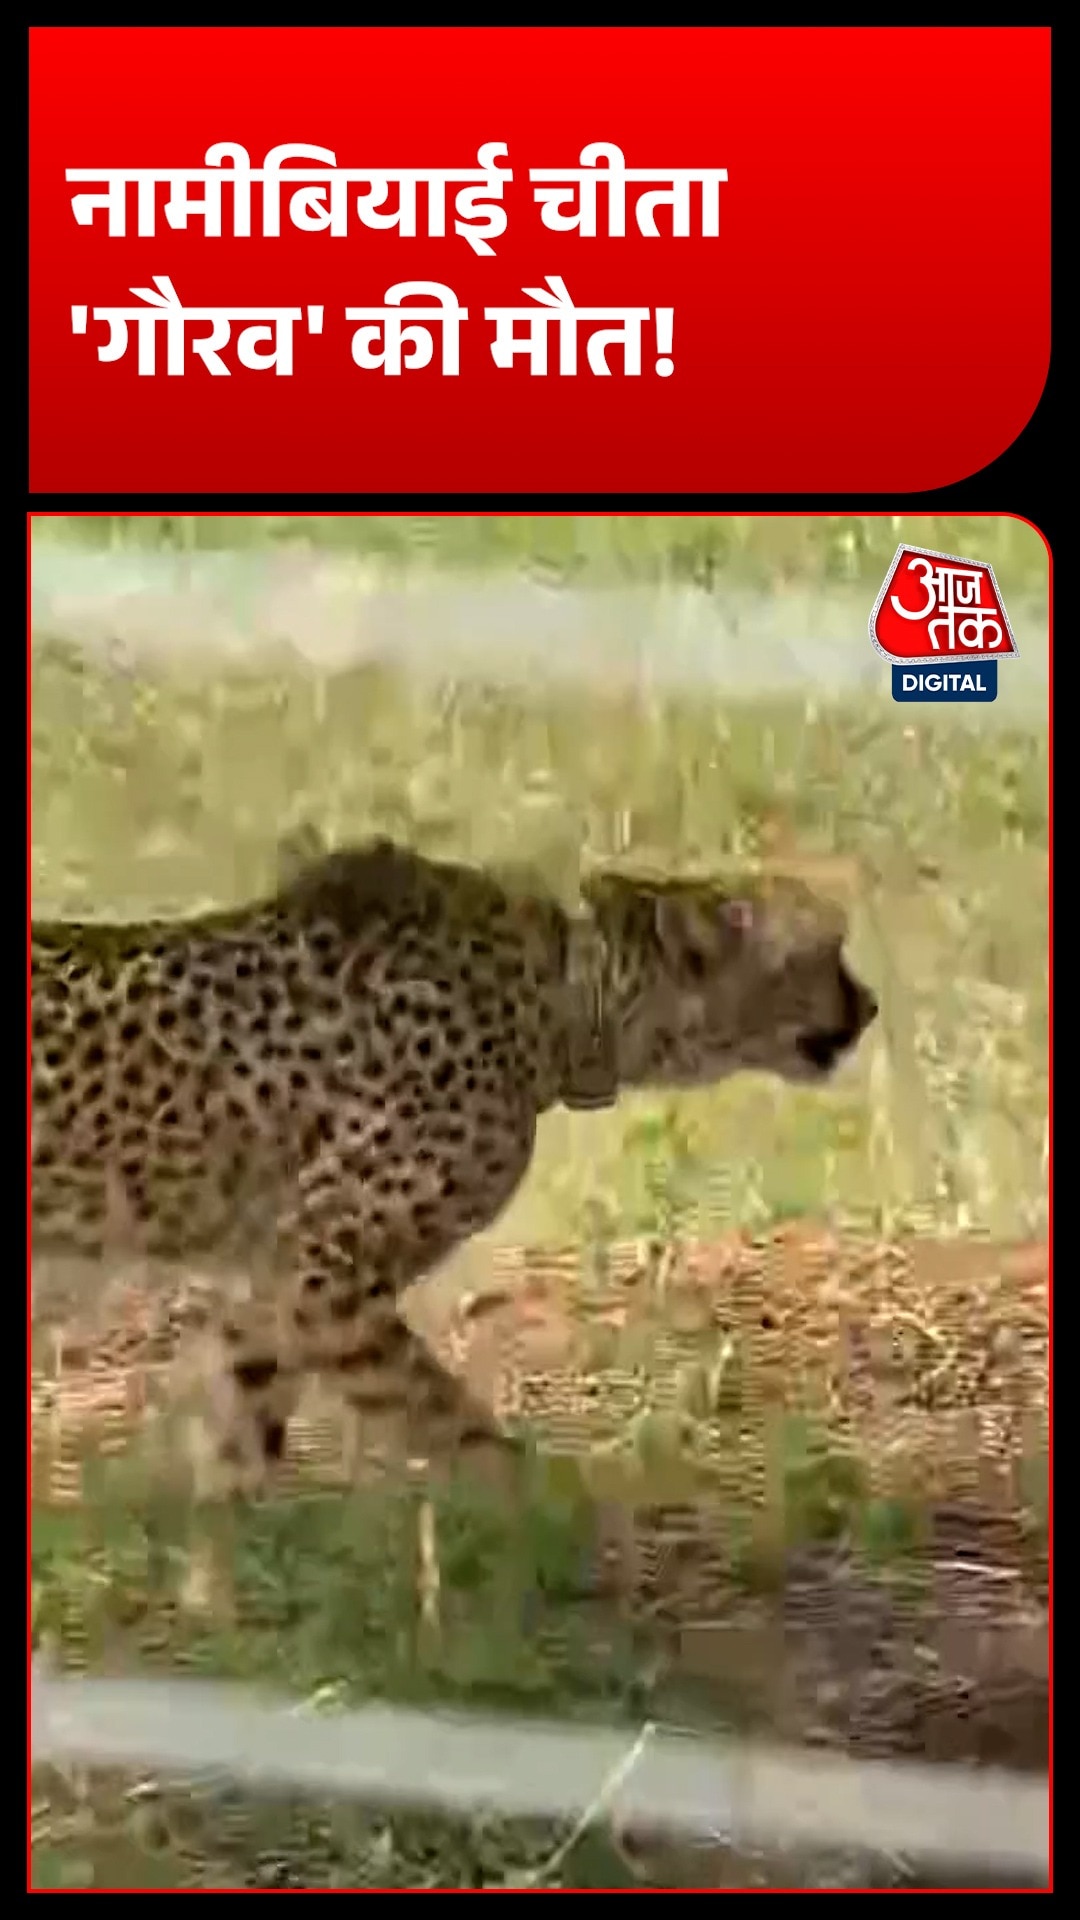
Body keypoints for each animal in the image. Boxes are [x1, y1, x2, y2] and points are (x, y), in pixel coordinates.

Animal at [31, 836, 878, 1495]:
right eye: (827, 953)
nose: (869, 1005)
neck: (557, 1004)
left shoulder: (271, 1272)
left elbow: (248, 1418)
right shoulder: (323, 1274)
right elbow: (446, 1419)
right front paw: (539, 1522)